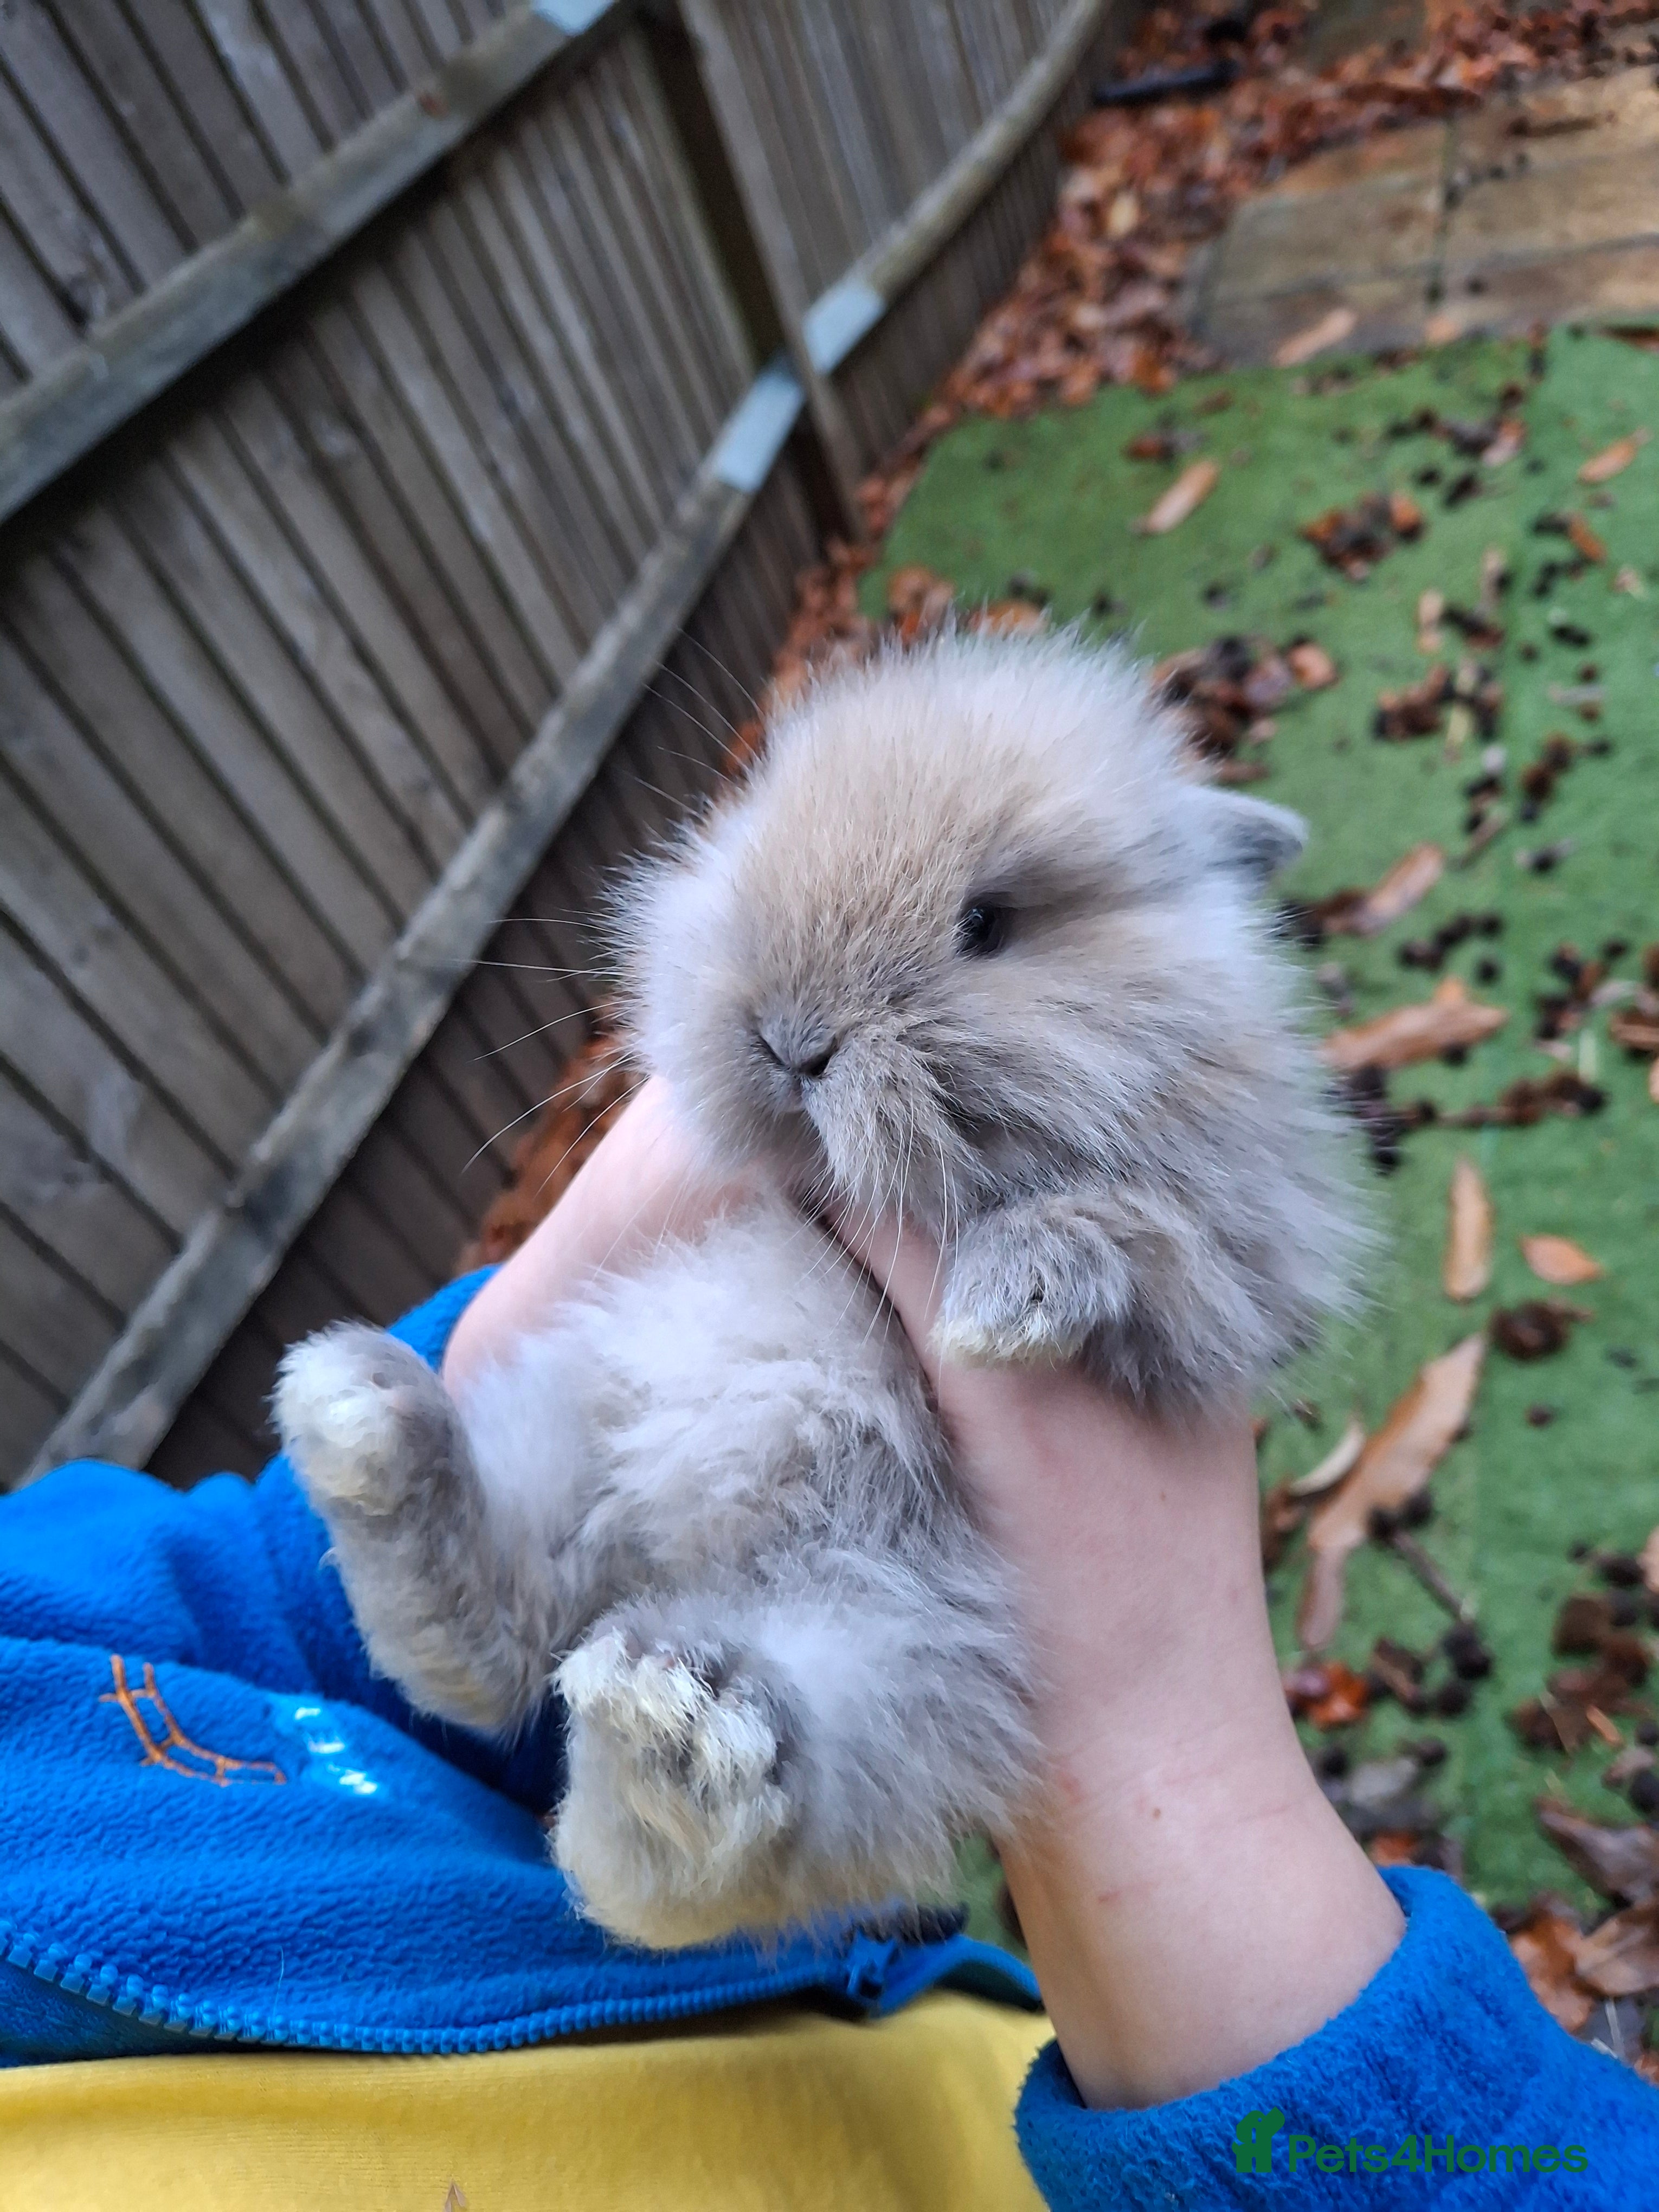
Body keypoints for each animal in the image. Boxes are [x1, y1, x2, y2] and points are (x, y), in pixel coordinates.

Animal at [275, 628, 1361, 1950]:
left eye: (989, 923)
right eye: (753, 832)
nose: (790, 1042)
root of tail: (686, 1562)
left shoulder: (1239, 1274)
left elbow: (1142, 1247)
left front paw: (1005, 1298)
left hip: (906, 1645)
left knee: (706, 1844)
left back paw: (671, 1721)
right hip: (583, 1422)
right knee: (497, 1651)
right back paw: (364, 1419)